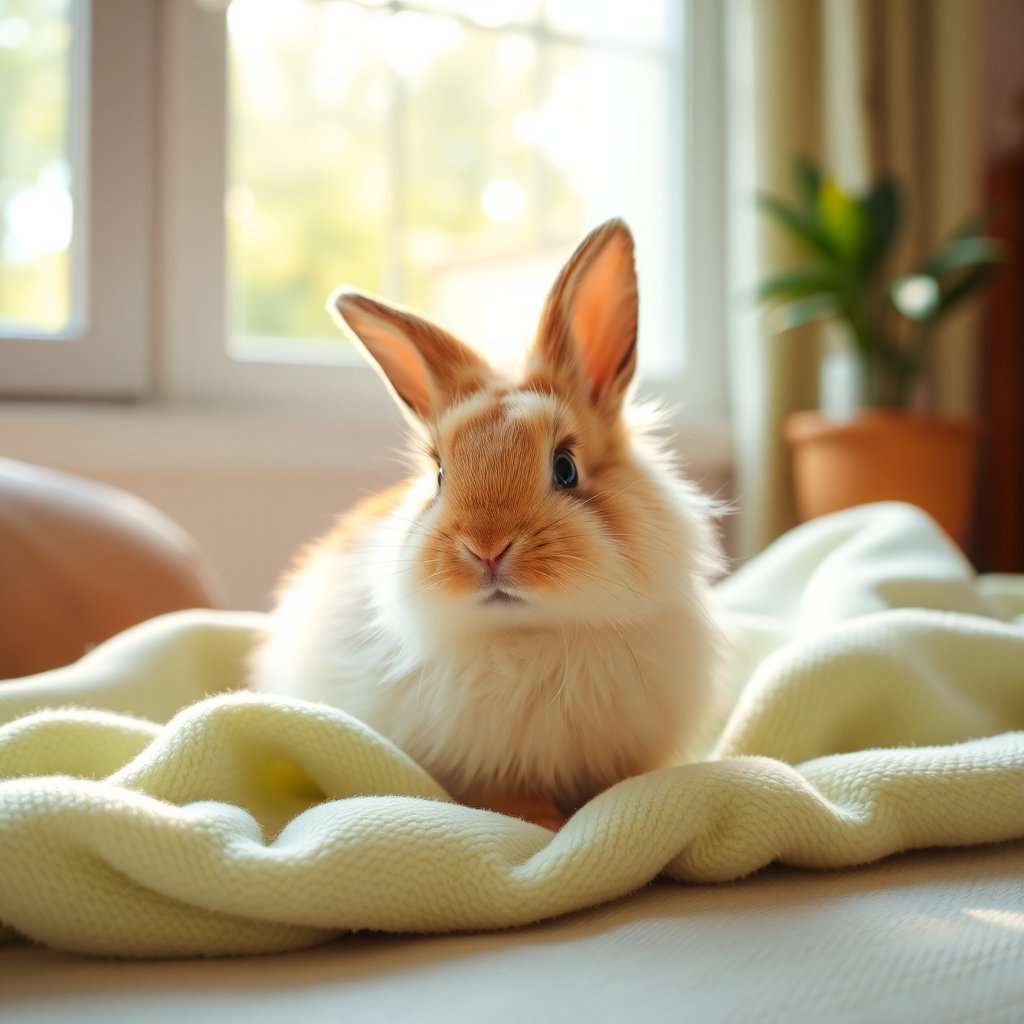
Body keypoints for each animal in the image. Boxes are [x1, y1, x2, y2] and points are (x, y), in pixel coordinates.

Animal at [251, 219, 726, 829]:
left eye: (566, 467)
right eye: (438, 475)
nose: (487, 549)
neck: (528, 634)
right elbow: (512, 801)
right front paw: (546, 825)